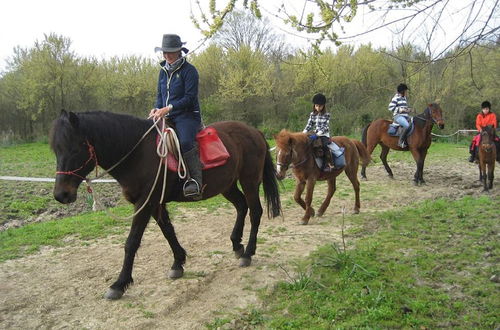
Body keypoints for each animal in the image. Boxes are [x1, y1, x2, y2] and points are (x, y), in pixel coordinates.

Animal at [50, 110, 282, 300]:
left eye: (75, 149)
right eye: (55, 150)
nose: (61, 194)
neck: (137, 154)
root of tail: (254, 131)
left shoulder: (145, 202)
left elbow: (132, 242)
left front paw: (119, 284)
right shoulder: (155, 203)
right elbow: (168, 231)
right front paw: (178, 263)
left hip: (249, 180)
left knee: (255, 212)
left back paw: (248, 253)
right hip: (227, 185)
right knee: (242, 206)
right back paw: (237, 245)